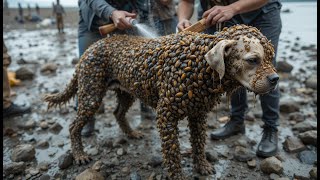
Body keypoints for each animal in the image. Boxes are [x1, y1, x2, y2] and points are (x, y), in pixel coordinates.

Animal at [44, 24, 278, 179]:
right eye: (253, 60)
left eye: (270, 58)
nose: (275, 79)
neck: (202, 68)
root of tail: (89, 50)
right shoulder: (166, 115)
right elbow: (172, 152)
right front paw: (177, 175)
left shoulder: (198, 114)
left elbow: (199, 143)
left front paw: (202, 165)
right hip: (91, 94)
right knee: (74, 125)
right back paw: (79, 154)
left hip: (126, 92)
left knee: (118, 113)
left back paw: (131, 133)